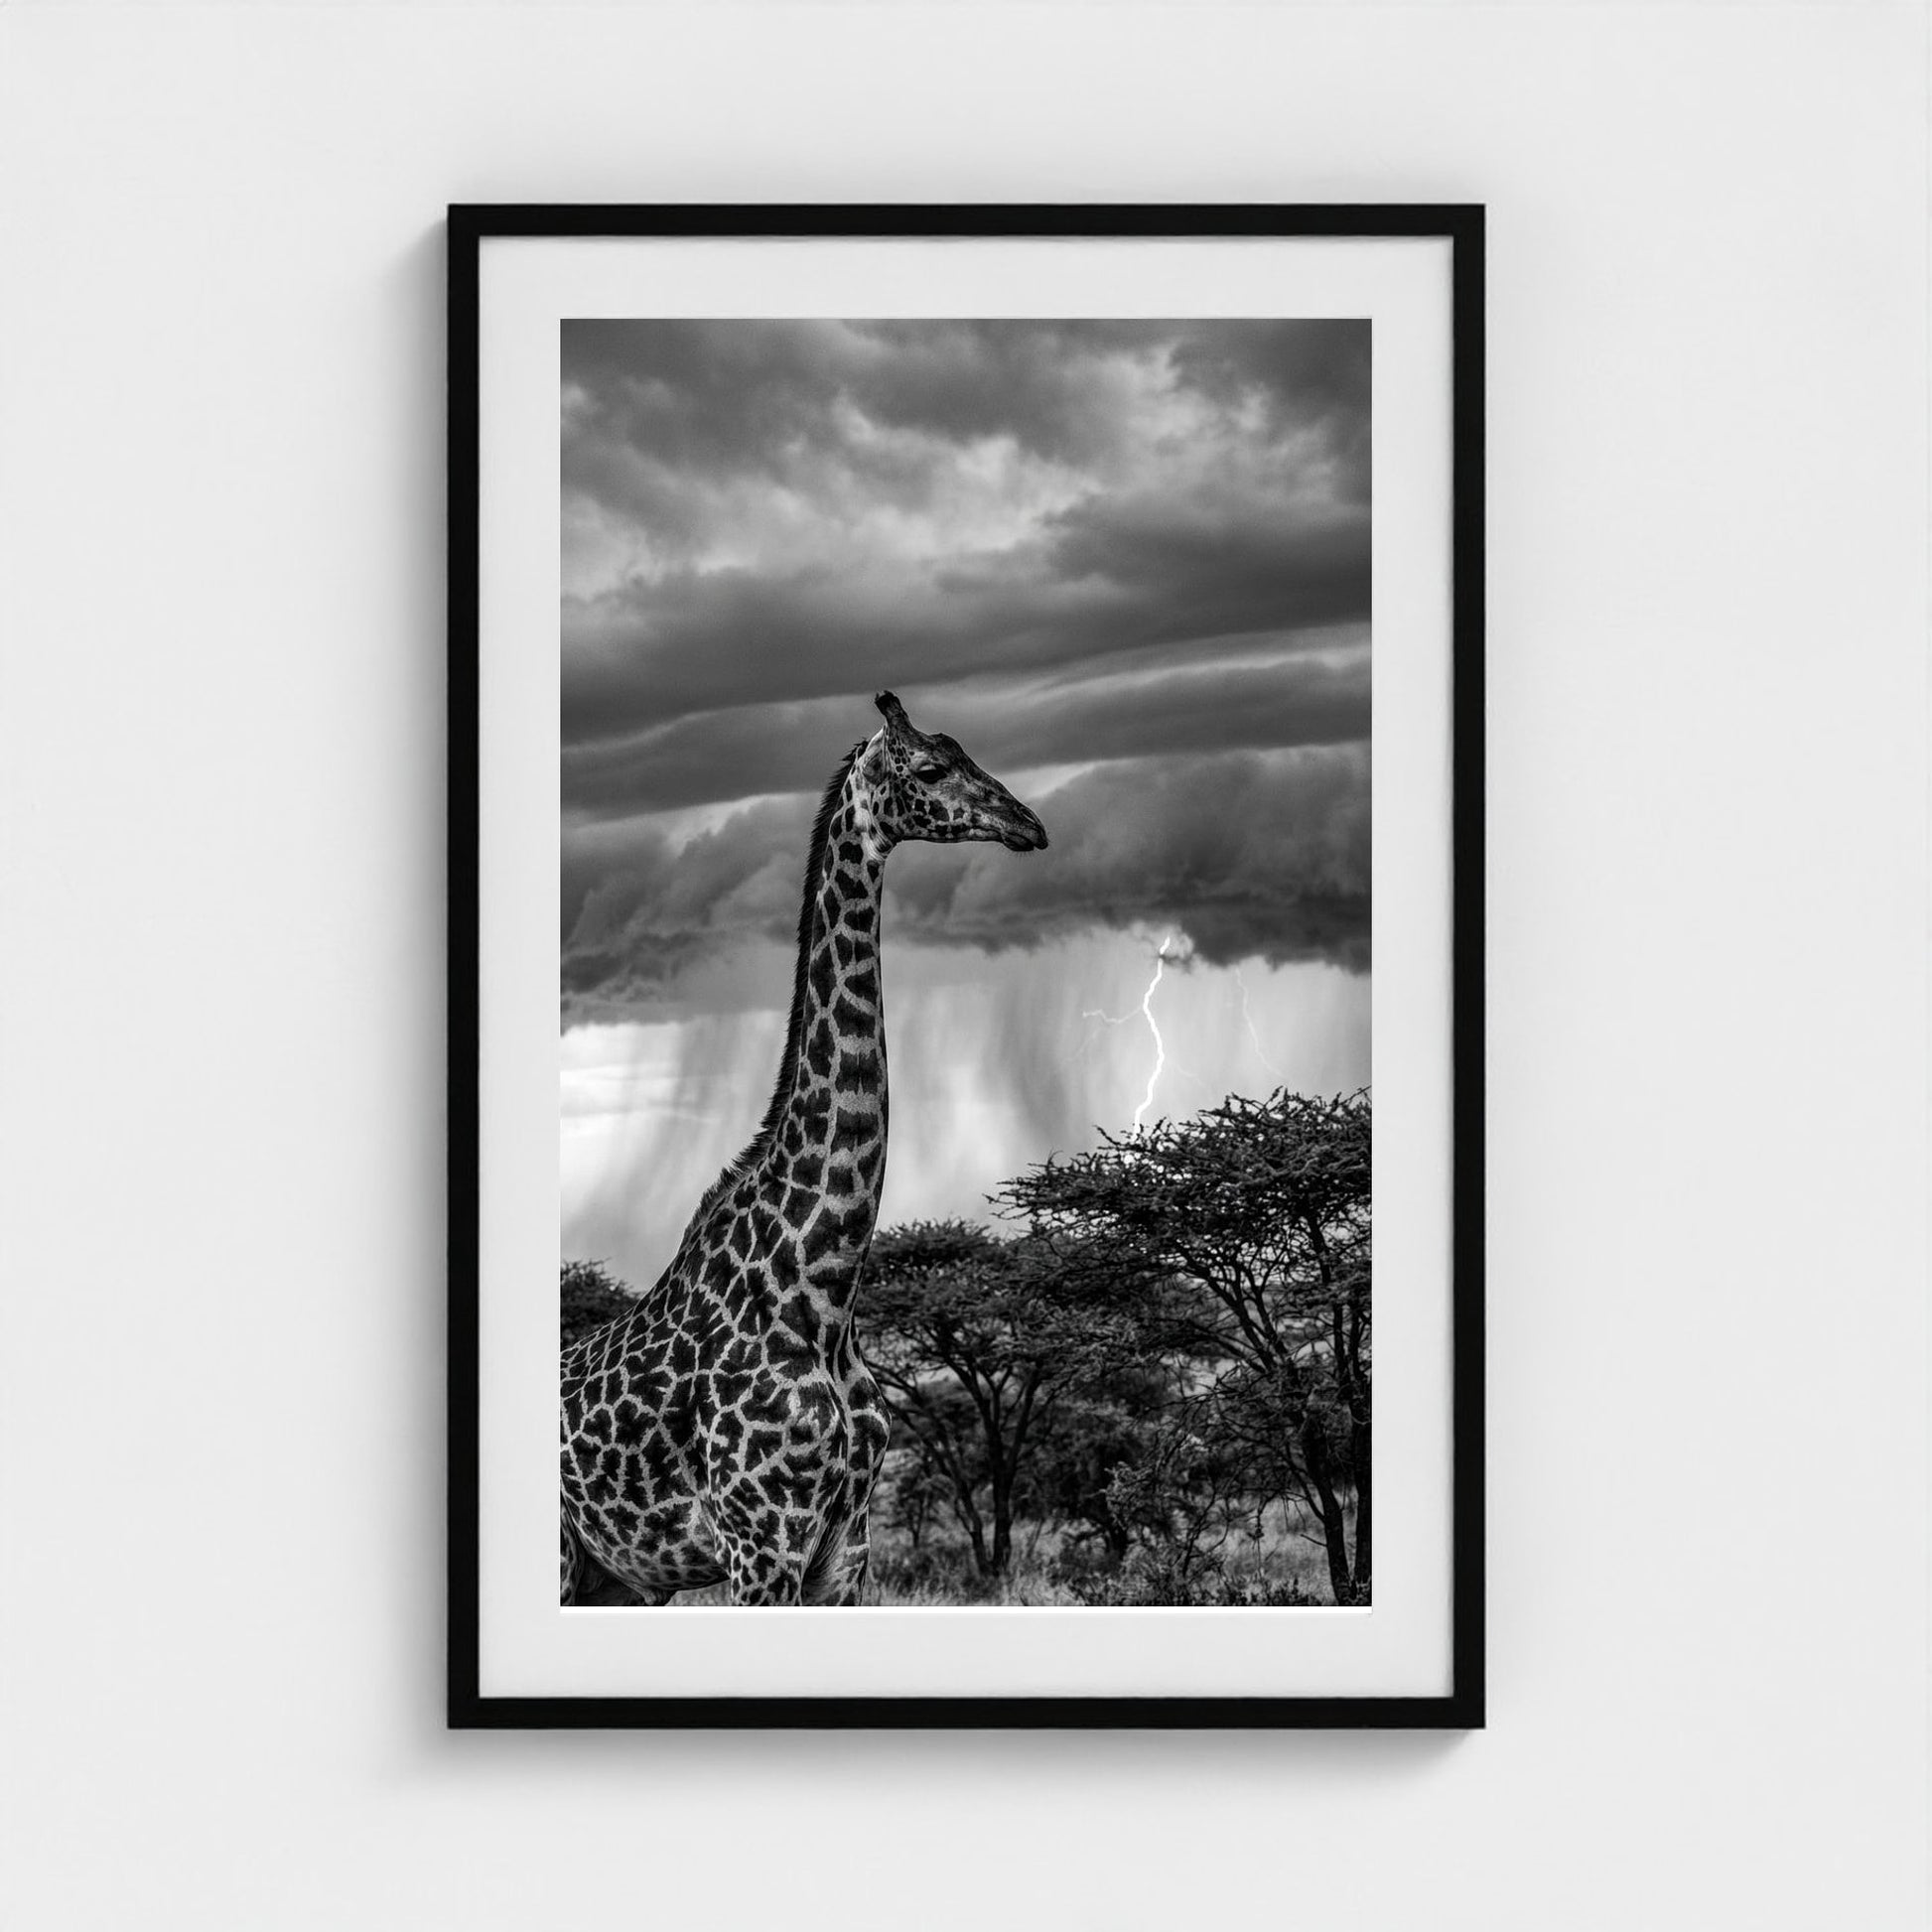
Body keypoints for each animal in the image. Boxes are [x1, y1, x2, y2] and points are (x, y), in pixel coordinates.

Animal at [559, 691, 1049, 1606]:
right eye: (931, 768)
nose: (1029, 825)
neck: (820, 1291)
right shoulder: (762, 1547)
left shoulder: (844, 1552)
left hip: (620, 1574)